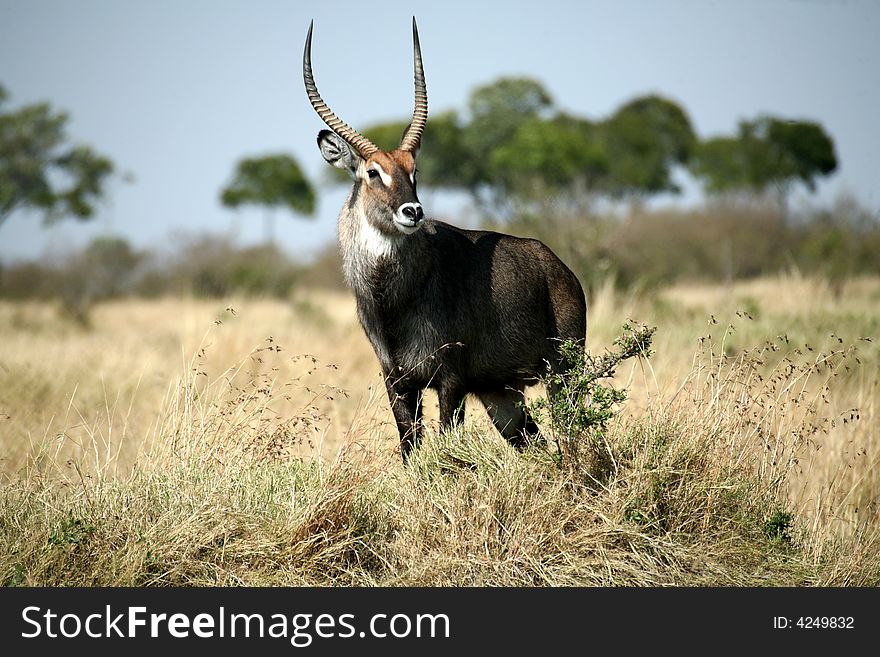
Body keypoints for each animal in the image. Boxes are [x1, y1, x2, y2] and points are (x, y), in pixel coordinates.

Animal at [302, 19, 584, 462]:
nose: (413, 212)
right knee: (535, 442)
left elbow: (448, 448)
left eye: (414, 170)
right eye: (372, 172)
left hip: (563, 371)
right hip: (500, 392)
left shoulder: (451, 379)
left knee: (576, 432)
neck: (392, 300)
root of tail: (561, 269)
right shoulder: (398, 381)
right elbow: (410, 448)